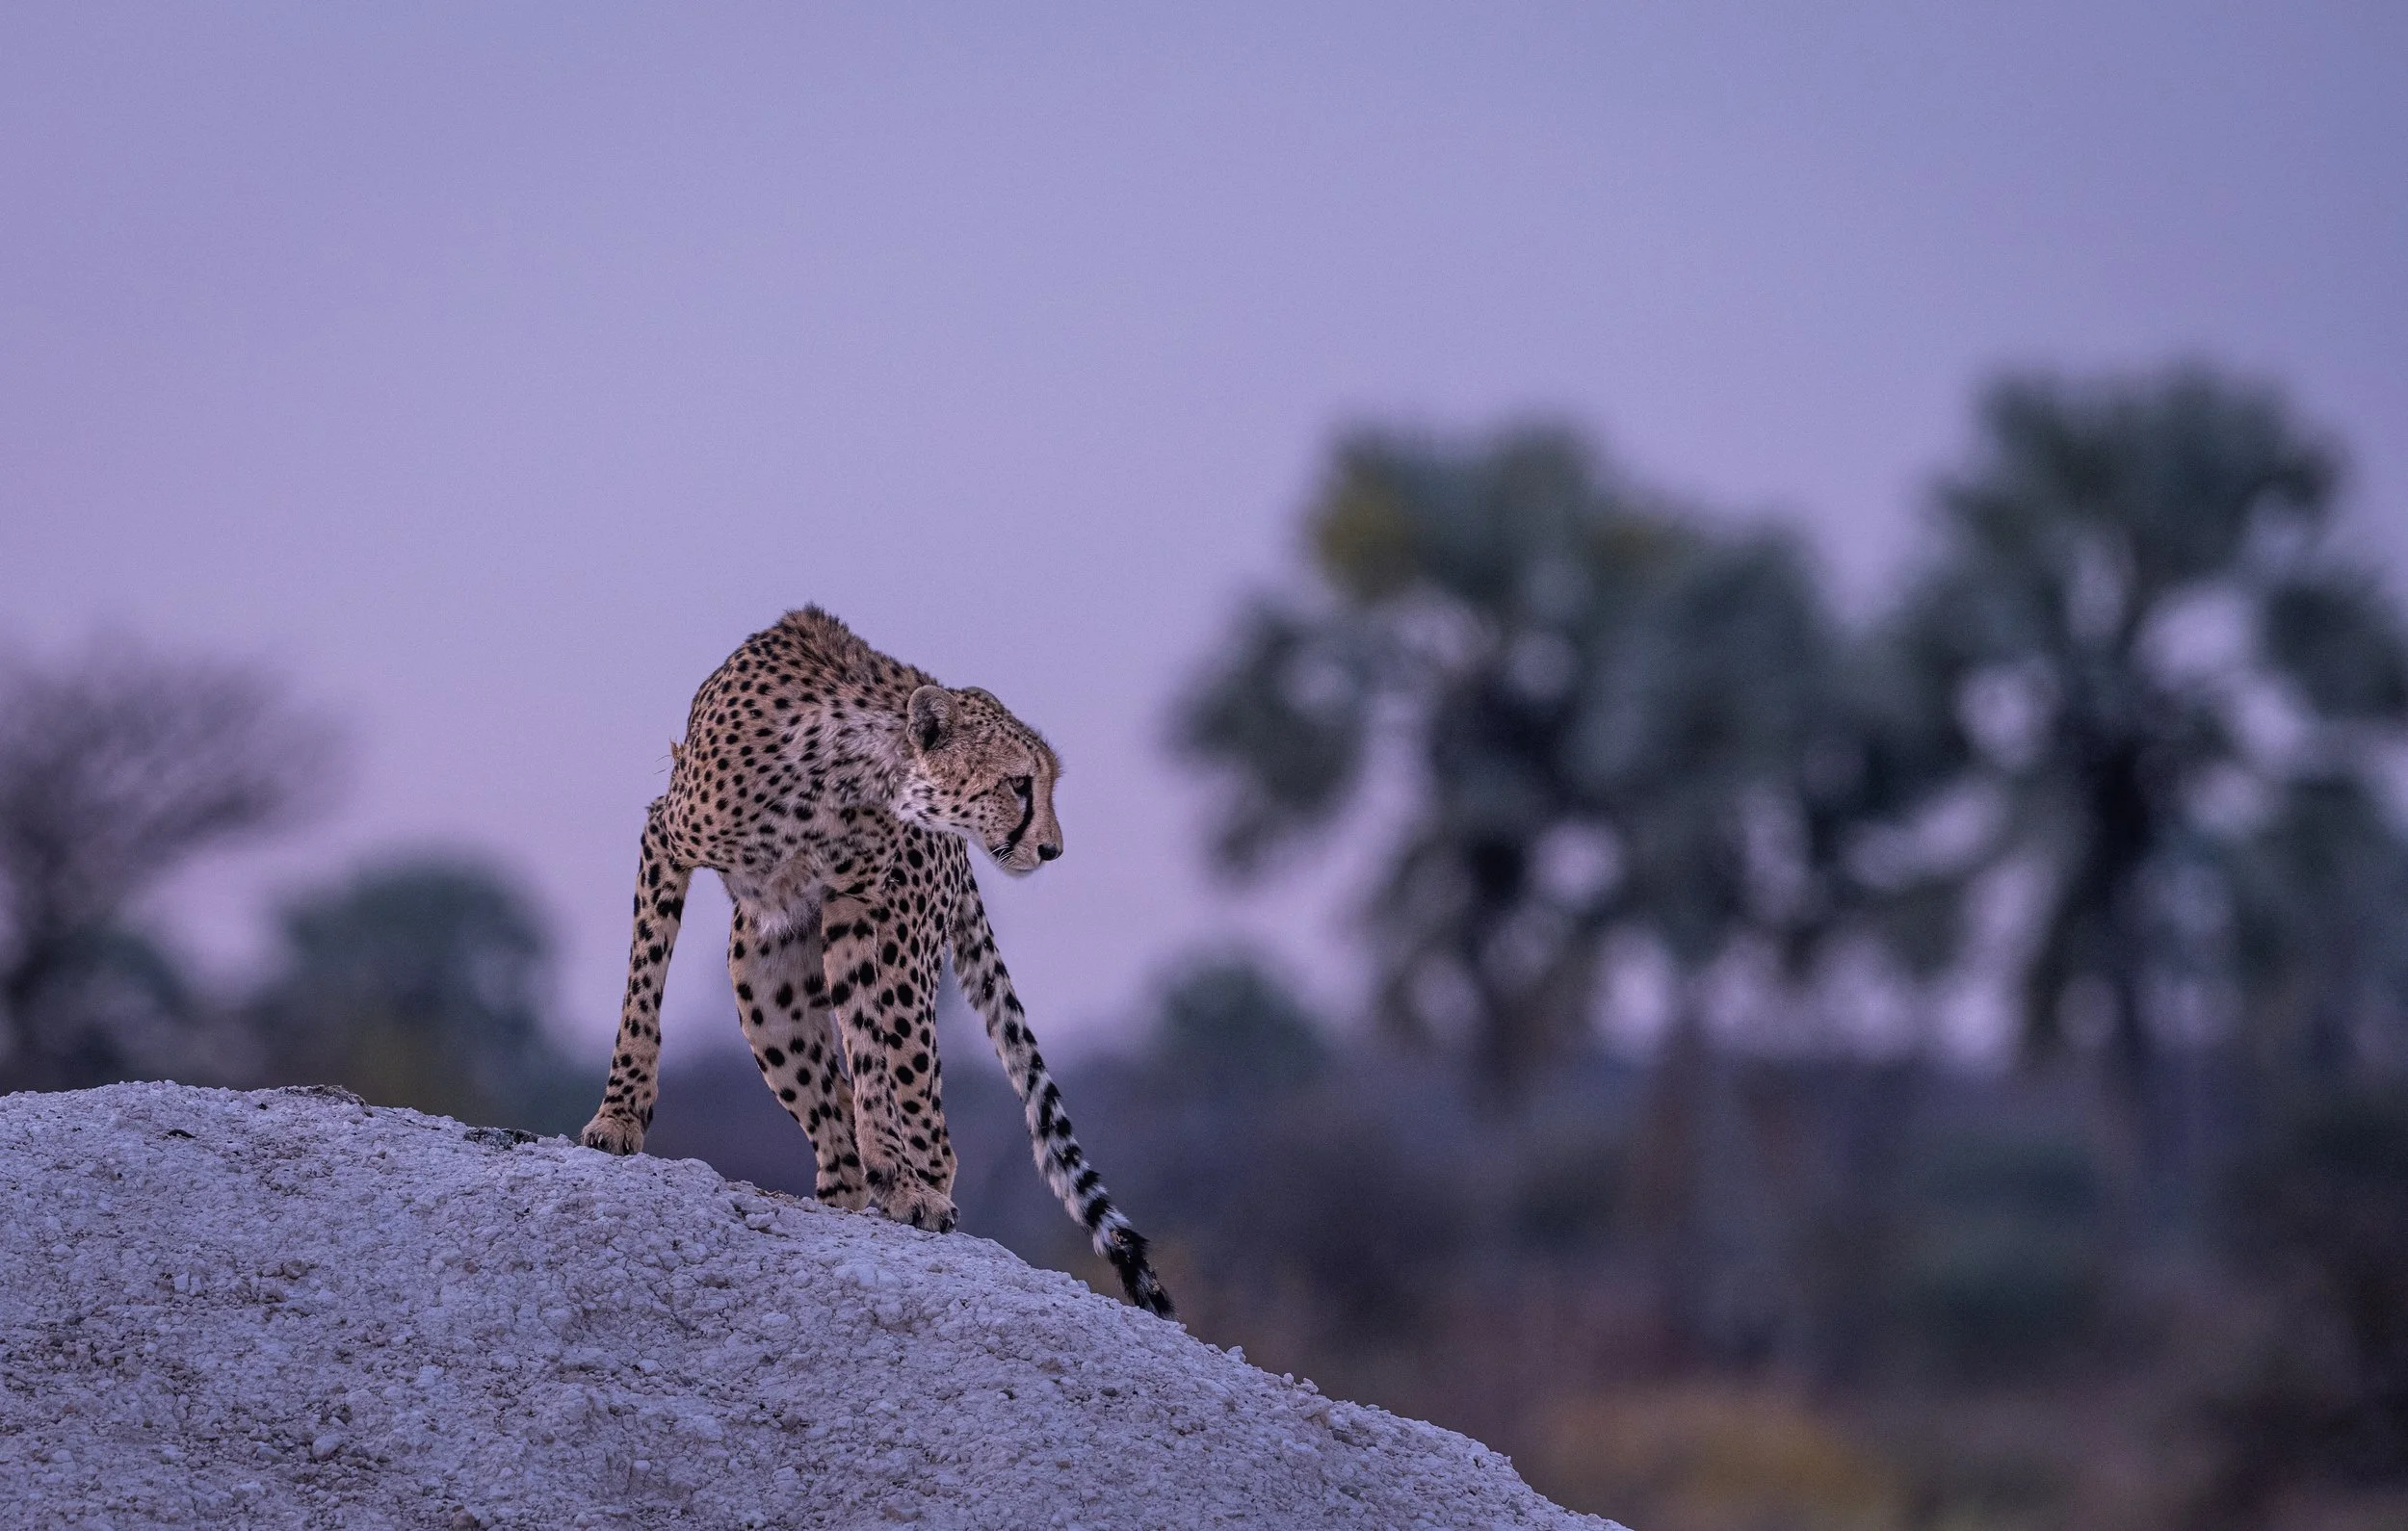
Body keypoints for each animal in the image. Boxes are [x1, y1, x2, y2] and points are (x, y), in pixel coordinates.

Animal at [577, 606, 1172, 1317]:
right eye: (1019, 783)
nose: (1053, 849)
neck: (845, 770)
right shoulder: (665, 836)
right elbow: (643, 986)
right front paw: (619, 1115)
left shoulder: (856, 907)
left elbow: (868, 1055)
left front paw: (899, 1177)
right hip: (763, 989)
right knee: (835, 1127)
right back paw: (850, 1199)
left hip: (902, 965)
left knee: (925, 1120)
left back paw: (914, 1191)